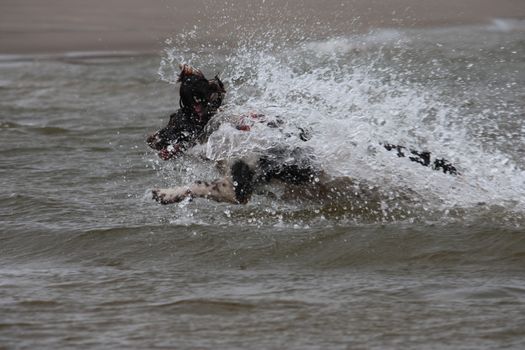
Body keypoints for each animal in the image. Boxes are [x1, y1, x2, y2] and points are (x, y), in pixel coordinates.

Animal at [147, 65, 458, 205]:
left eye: (173, 121)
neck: (229, 130)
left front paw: (166, 193)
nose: (149, 139)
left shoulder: (238, 187)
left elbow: (198, 185)